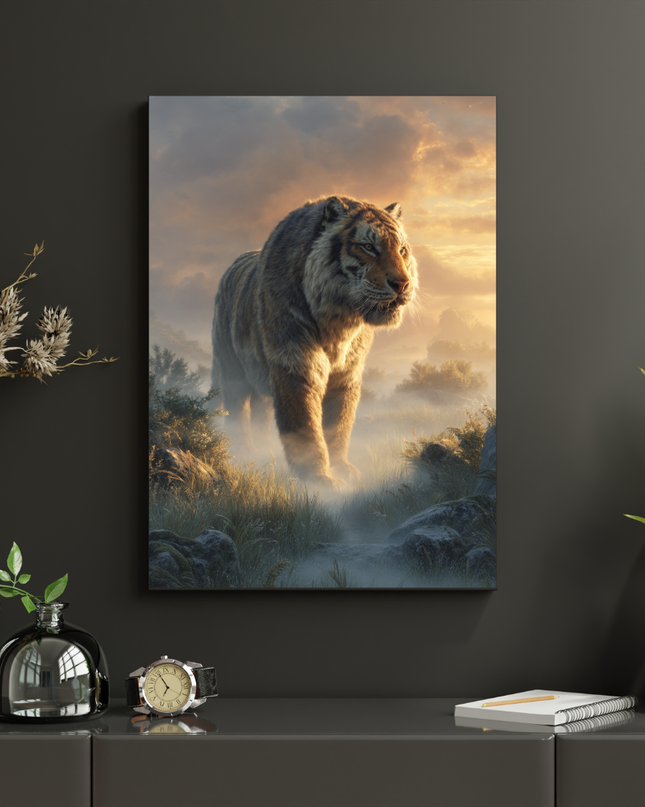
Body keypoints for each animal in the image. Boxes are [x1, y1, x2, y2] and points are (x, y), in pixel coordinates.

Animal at [211, 195, 418, 488]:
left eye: (402, 250)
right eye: (368, 247)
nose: (402, 284)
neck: (340, 321)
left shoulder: (347, 374)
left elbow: (338, 424)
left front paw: (341, 468)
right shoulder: (294, 365)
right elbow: (305, 427)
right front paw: (318, 479)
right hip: (232, 371)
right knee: (237, 413)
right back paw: (245, 454)